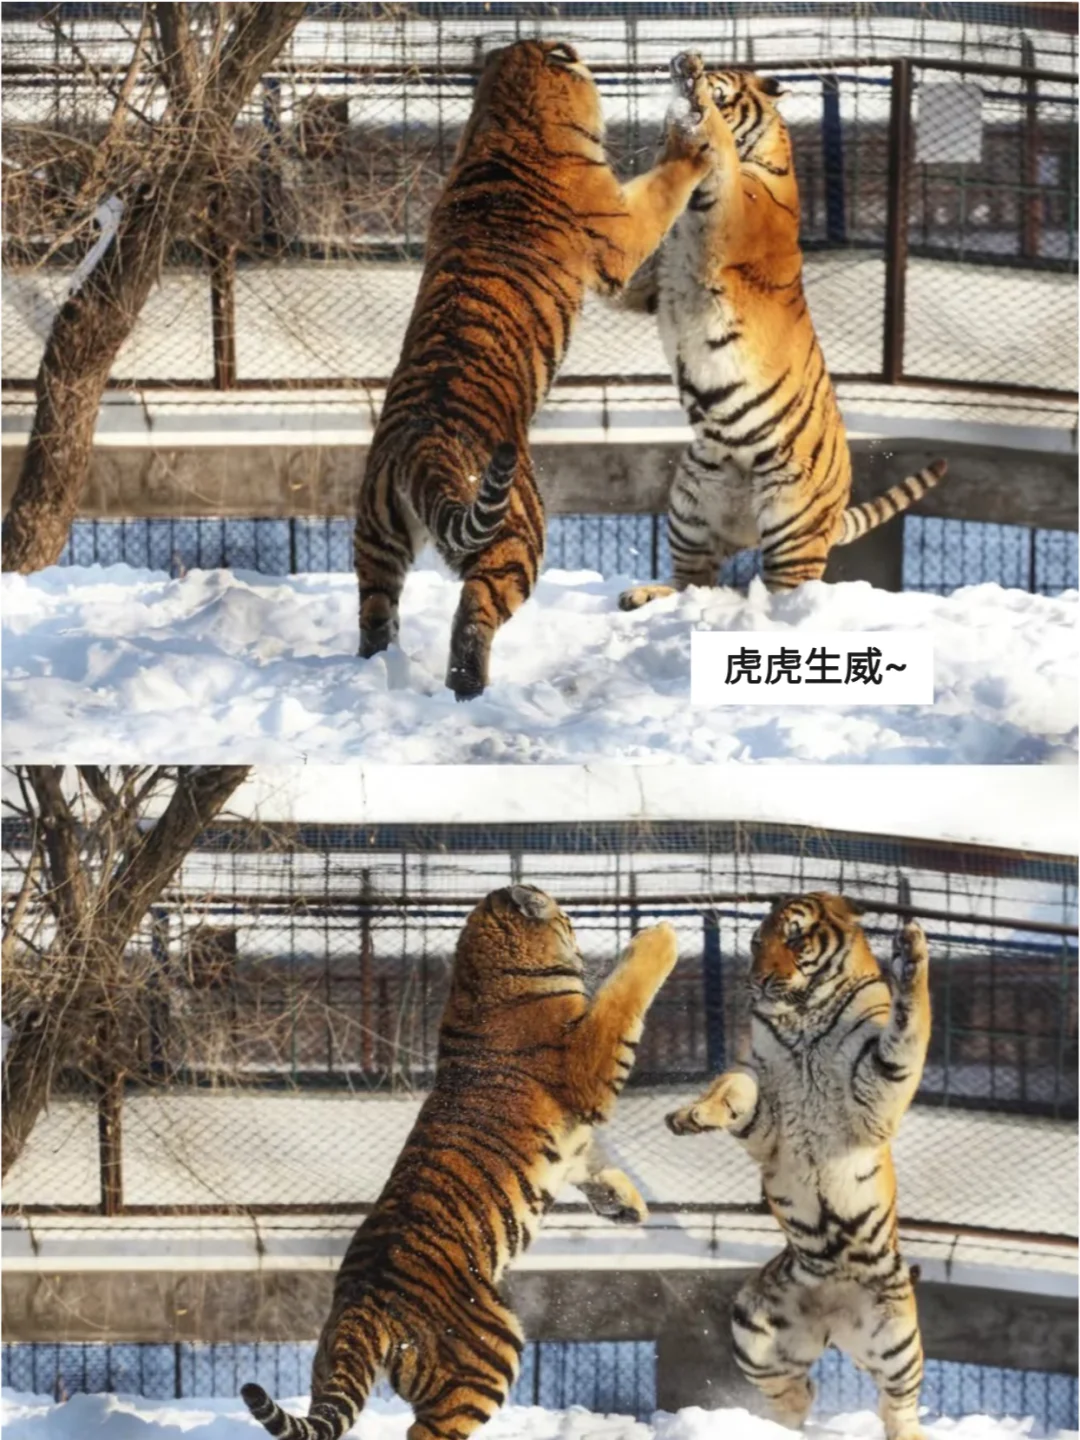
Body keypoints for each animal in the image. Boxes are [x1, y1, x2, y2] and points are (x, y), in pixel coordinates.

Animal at [242, 885, 678, 1440]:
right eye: (569, 919)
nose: (581, 939)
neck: (483, 973)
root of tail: (360, 1306)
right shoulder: (587, 1063)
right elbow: (623, 996)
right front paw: (660, 936)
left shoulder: (574, 1135)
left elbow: (591, 1165)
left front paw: (627, 1205)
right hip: (489, 1348)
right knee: (428, 1431)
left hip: (329, 1368)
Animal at [354, 39, 723, 700]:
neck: (504, 118)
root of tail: (420, 445)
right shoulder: (619, 229)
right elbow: (664, 186)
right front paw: (691, 147)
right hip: (517, 533)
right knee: (474, 611)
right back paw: (469, 689)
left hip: (374, 540)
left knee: (375, 617)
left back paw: (380, 672)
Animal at [618, 55, 945, 611]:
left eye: (721, 91)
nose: (686, 64)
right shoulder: (646, 289)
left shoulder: (728, 212)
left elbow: (718, 149)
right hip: (691, 499)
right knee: (694, 579)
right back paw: (647, 594)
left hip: (791, 517)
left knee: (787, 587)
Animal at [666, 893, 931, 1440]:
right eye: (755, 942)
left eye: (794, 937)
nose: (761, 979)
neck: (803, 1018)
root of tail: (834, 1321)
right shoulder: (760, 1092)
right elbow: (732, 1089)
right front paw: (692, 1115)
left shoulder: (878, 1080)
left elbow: (910, 1020)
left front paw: (910, 953)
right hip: (754, 1330)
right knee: (797, 1392)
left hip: (897, 1339)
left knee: (897, 1403)